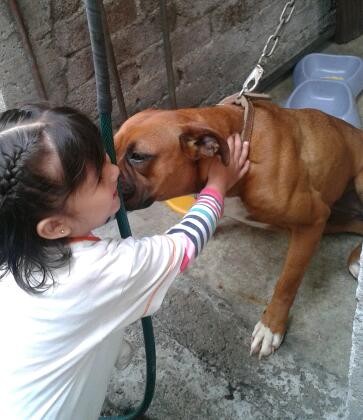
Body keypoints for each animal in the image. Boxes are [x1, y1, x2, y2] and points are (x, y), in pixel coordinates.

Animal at [115, 97, 363, 358]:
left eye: (138, 156)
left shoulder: (313, 220)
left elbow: (288, 281)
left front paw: (271, 326)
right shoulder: (319, 221)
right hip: (333, 221)